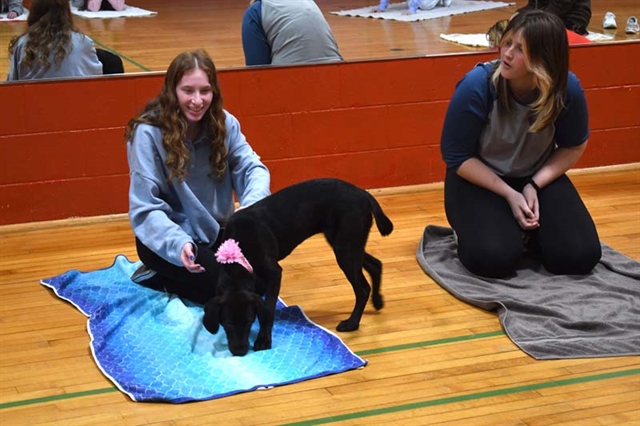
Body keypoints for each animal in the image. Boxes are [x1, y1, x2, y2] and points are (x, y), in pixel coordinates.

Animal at [205, 178, 392, 354]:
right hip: (347, 244)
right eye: (227, 324)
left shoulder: (274, 273)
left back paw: (352, 323)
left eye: (249, 321)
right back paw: (377, 301)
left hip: (346, 247)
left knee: (363, 288)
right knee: (375, 264)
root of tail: (362, 193)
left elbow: (268, 310)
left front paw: (263, 340)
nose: (240, 351)